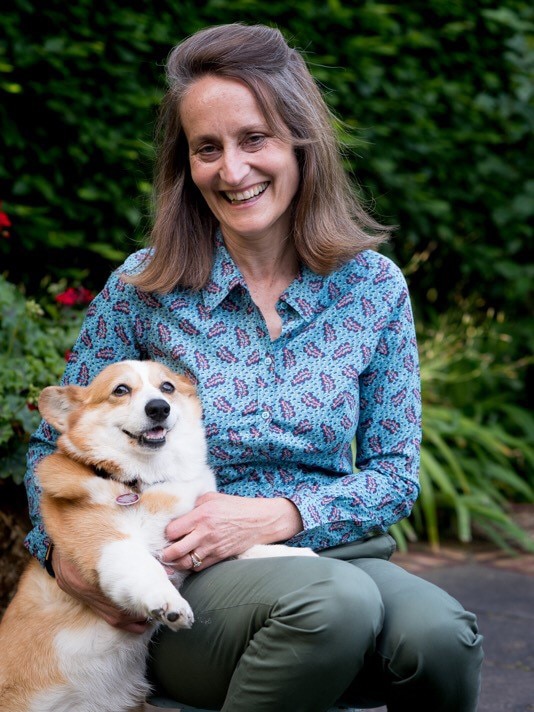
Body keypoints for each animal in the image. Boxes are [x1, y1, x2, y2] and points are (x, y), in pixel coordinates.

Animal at [0, 362, 318, 712]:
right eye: (120, 390)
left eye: (167, 387)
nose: (158, 408)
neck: (147, 479)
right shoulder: (107, 542)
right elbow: (144, 566)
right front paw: (168, 603)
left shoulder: (194, 536)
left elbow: (237, 545)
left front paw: (291, 553)